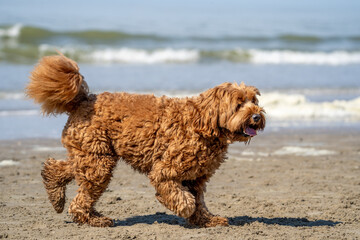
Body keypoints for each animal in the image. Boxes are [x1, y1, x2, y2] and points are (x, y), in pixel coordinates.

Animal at [26, 54, 264, 229]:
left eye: (254, 100)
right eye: (239, 104)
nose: (257, 116)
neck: (202, 121)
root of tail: (83, 99)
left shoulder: (196, 177)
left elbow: (199, 201)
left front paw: (207, 220)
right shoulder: (165, 171)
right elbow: (185, 199)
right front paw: (184, 208)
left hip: (91, 155)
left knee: (62, 170)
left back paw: (57, 192)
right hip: (98, 160)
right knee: (79, 200)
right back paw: (94, 219)